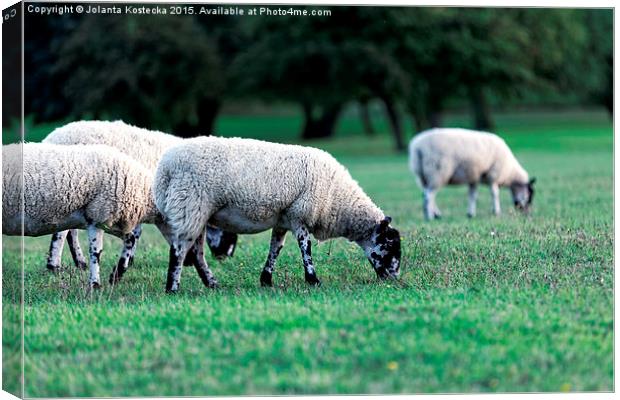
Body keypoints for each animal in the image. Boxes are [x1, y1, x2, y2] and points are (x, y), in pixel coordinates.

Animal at [1, 143, 160, 288]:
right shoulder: (99, 216)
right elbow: (96, 252)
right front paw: (96, 284)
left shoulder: (107, 220)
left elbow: (129, 239)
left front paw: (115, 275)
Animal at [41, 119, 239, 282]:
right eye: (228, 233)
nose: (224, 257)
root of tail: (53, 137)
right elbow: (136, 233)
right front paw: (125, 264)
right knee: (62, 233)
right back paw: (55, 265)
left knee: (70, 231)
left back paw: (78, 262)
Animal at [153, 138, 400, 294]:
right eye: (389, 244)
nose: (394, 280)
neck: (337, 198)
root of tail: (164, 169)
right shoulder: (300, 215)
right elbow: (306, 249)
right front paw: (313, 279)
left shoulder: (284, 219)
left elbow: (276, 248)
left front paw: (266, 280)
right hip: (190, 205)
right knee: (179, 250)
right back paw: (172, 288)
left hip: (196, 214)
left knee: (197, 253)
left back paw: (212, 283)